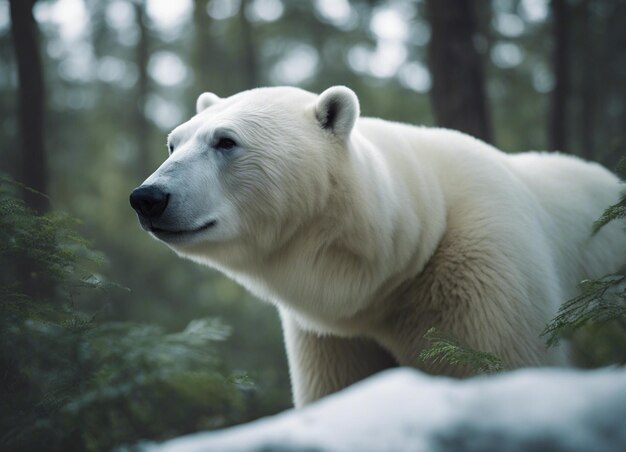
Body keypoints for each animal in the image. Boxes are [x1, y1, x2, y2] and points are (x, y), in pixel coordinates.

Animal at [129, 86, 620, 408]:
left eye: (225, 141)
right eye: (173, 142)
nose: (148, 197)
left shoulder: (486, 278)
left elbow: (500, 361)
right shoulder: (334, 336)